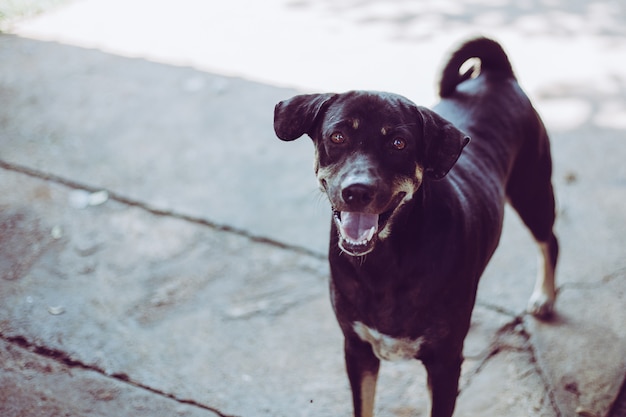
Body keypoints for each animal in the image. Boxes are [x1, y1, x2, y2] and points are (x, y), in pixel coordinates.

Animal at [272, 37, 556, 414]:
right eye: (337, 137)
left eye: (398, 143)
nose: (357, 191)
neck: (387, 261)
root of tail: (496, 73)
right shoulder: (357, 350)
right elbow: (363, 405)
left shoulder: (446, 362)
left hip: (533, 190)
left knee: (549, 241)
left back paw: (545, 297)